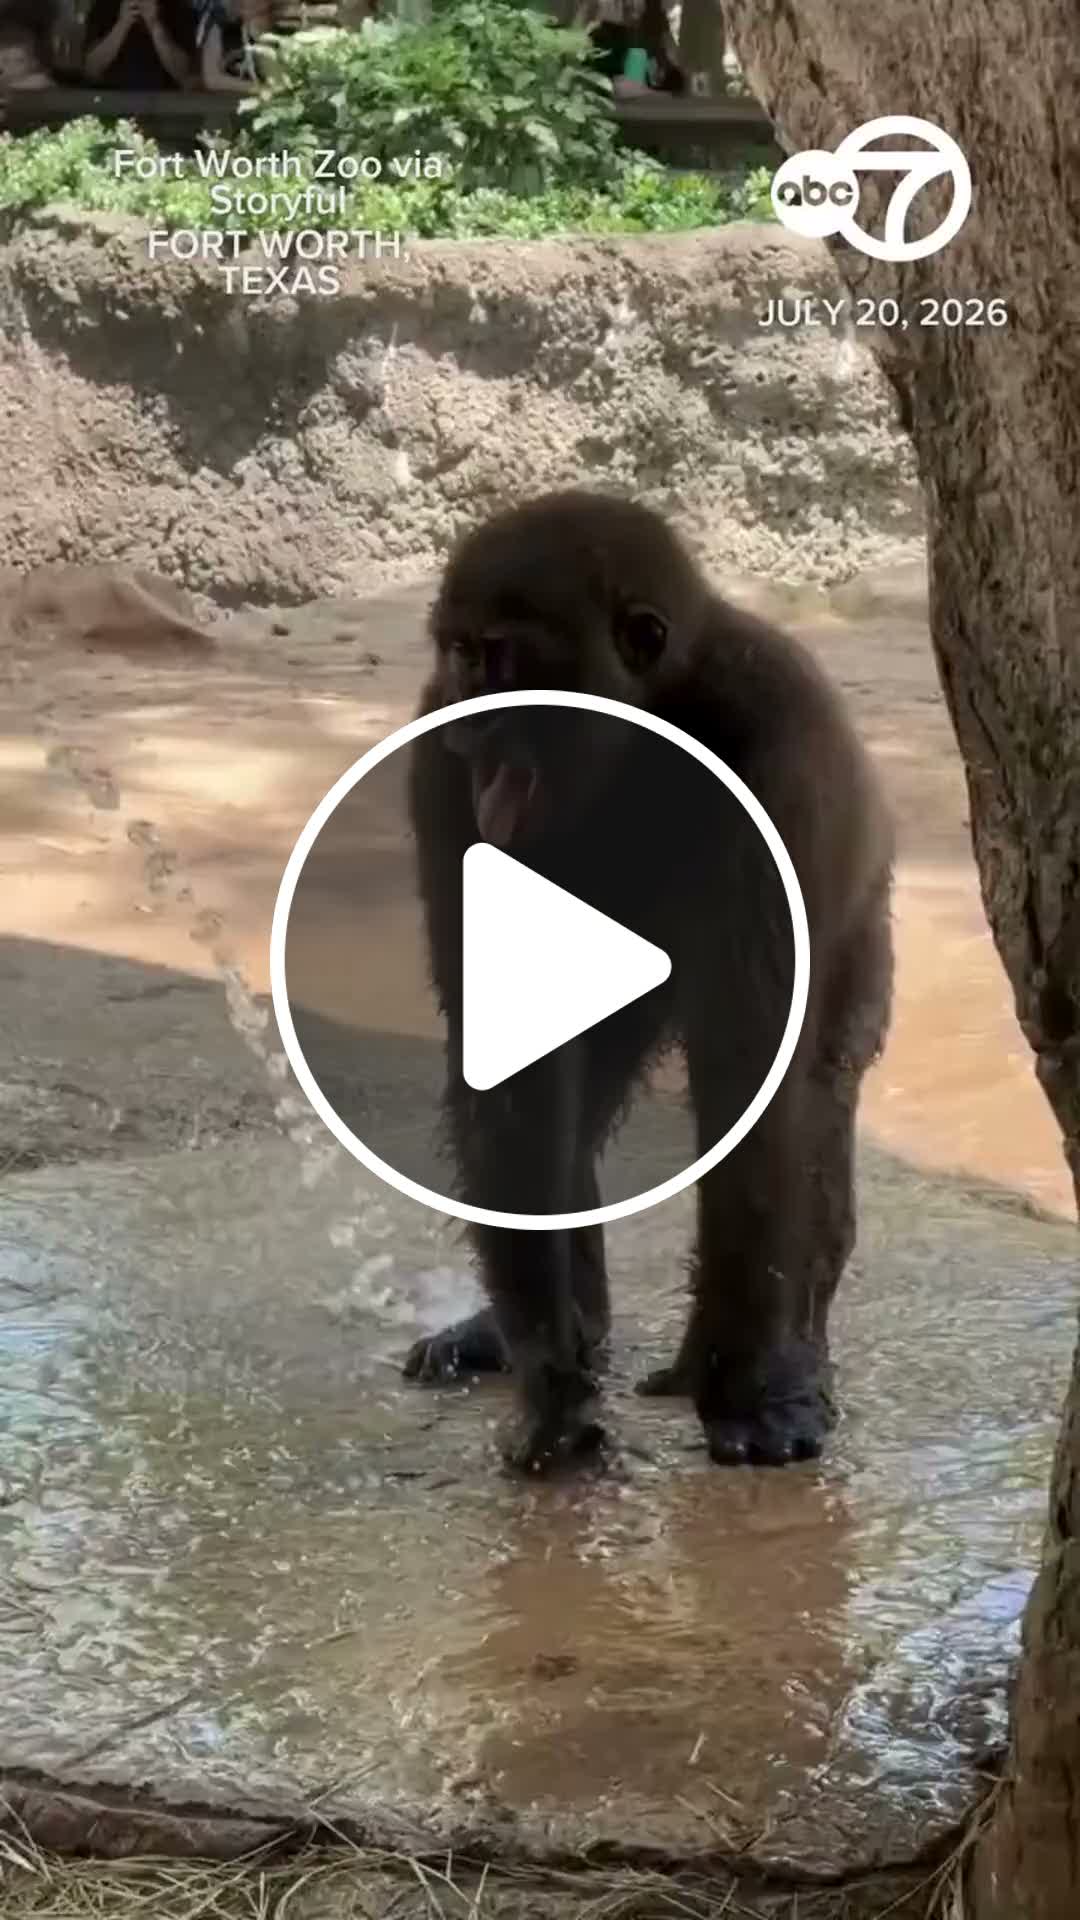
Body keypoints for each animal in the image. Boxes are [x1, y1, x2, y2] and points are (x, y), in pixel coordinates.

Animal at [402, 491, 893, 1474]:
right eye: (460, 654)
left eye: (499, 655)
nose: (476, 715)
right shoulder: (437, 760)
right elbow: (511, 1063)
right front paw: (551, 1384)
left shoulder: (777, 743)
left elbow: (755, 1080)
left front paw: (744, 1385)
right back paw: (544, 1328)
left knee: (820, 1091)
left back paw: (789, 1351)